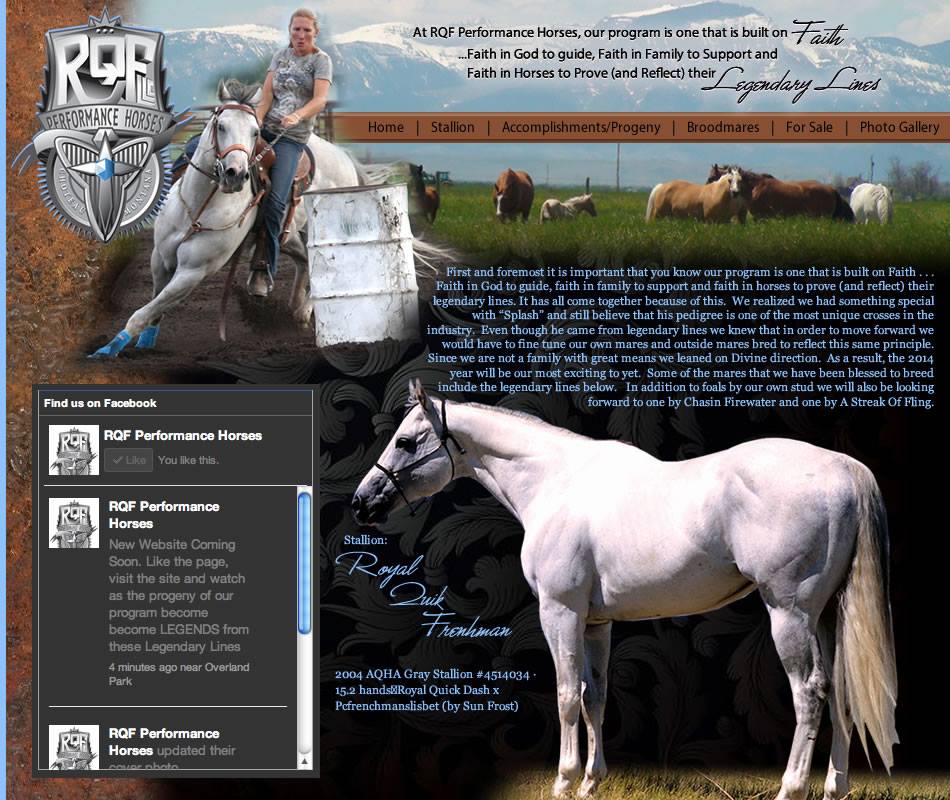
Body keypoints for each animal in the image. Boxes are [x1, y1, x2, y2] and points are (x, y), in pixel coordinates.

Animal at [352, 380, 898, 800]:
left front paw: (563, 782)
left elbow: (565, 694)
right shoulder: (597, 622)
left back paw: (791, 787)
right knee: (839, 690)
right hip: (826, 614)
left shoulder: (560, 612)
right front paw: (591, 783)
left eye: (405, 442)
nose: (361, 503)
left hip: (789, 612)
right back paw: (834, 787)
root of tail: (844, 468)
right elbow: (594, 696)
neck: (556, 483)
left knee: (809, 692)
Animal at [708, 164, 854, 222]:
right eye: (729, 180)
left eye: (711, 177)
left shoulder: (761, 218)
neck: (755, 188)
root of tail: (832, 190)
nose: (734, 192)